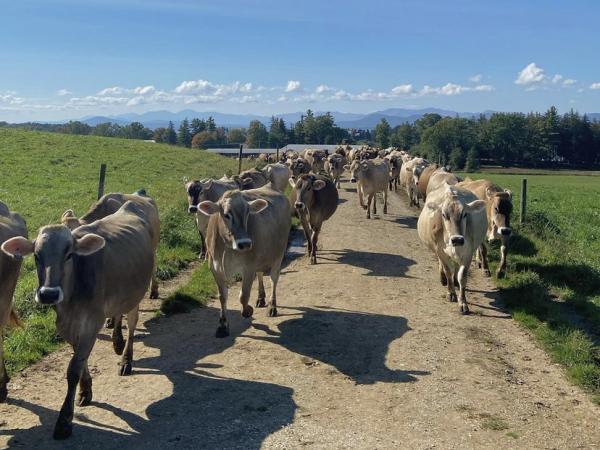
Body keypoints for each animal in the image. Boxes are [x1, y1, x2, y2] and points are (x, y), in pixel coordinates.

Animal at [1, 201, 155, 440]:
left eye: (69, 255)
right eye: (36, 256)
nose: (48, 294)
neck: (72, 298)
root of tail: (129, 206)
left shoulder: (92, 323)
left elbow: (73, 369)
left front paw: (65, 420)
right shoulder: (66, 326)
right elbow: (80, 361)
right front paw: (86, 389)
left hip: (135, 294)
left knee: (132, 323)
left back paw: (126, 359)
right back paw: (117, 341)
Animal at [197, 185, 290, 336]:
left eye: (248, 213)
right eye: (227, 214)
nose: (245, 243)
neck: (227, 248)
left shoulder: (248, 267)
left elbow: (243, 296)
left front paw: (248, 311)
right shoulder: (215, 268)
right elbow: (222, 296)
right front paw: (222, 325)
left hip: (279, 253)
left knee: (273, 279)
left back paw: (272, 306)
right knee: (260, 274)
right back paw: (260, 298)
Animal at [418, 185, 488, 314]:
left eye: (465, 214)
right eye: (444, 215)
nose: (457, 239)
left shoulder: (468, 253)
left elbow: (462, 277)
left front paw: (463, 302)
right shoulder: (440, 250)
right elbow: (448, 271)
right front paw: (450, 292)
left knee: (455, 266)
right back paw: (443, 278)